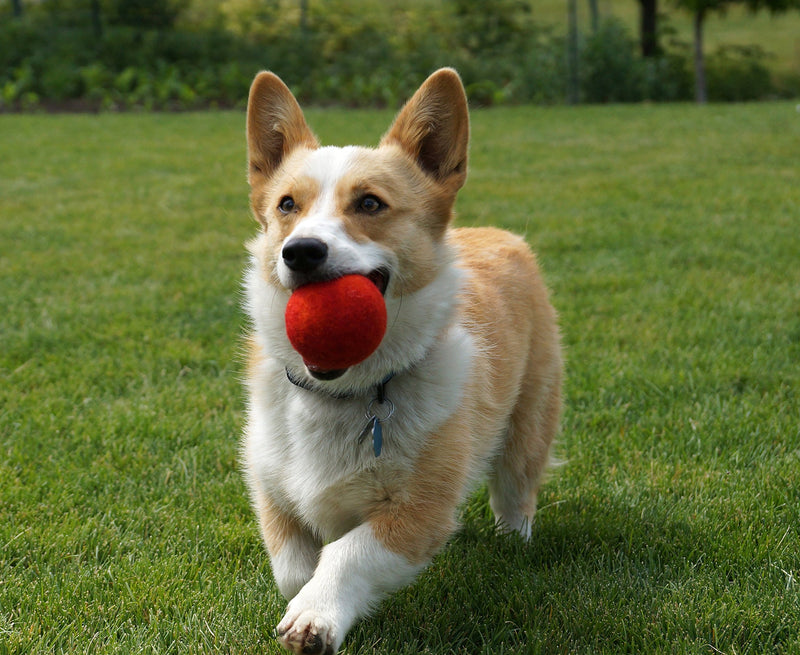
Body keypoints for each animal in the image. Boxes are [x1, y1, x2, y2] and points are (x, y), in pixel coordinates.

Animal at [244, 69, 564, 652]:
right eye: (286, 205)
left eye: (370, 204)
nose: (300, 251)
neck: (343, 391)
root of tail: (498, 233)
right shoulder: (272, 490)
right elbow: (294, 569)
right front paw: (306, 598)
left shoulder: (419, 511)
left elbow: (347, 555)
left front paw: (315, 616)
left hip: (529, 423)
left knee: (516, 492)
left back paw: (512, 542)